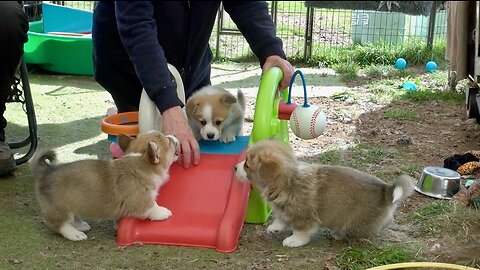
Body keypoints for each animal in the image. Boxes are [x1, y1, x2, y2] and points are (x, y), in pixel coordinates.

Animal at [31, 131, 178, 240]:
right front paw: (163, 212)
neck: (140, 161)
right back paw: (75, 234)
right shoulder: (141, 199)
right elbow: (152, 207)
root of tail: (46, 170)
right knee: (59, 224)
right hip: (60, 207)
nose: (174, 135)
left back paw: (80, 225)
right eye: (168, 141)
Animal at [234, 140, 414, 248]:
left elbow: (300, 230)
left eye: (247, 165)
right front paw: (275, 228)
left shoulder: (304, 216)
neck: (286, 180)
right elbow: (280, 218)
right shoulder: (282, 208)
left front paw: (293, 240)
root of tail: (386, 190)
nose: (235, 168)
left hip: (357, 222)